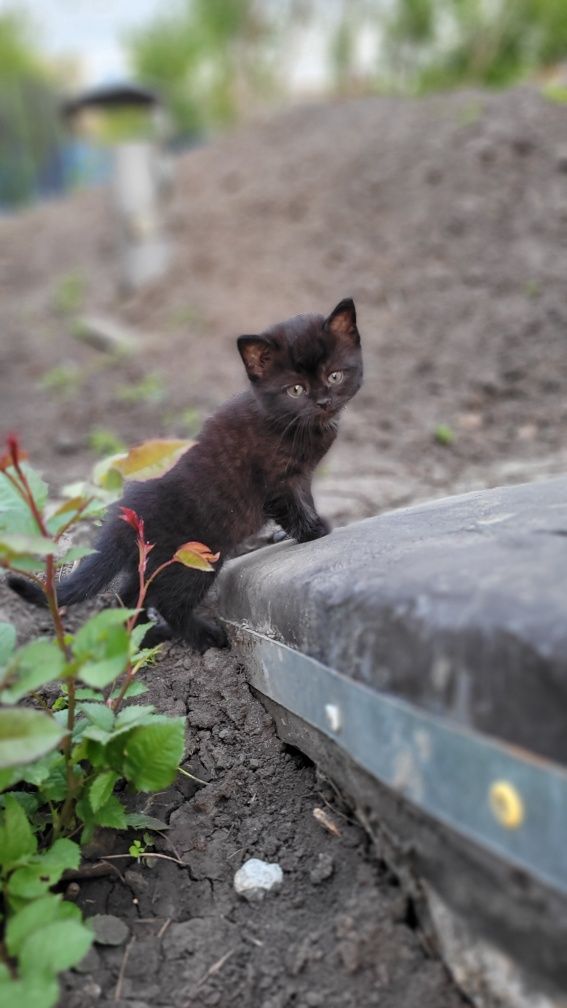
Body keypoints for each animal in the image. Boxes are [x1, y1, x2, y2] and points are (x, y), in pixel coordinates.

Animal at [11, 296, 363, 653]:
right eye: (295, 390)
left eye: (334, 376)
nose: (323, 401)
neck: (287, 422)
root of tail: (122, 519)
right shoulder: (277, 481)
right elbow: (292, 506)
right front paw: (314, 532)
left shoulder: (301, 477)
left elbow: (305, 499)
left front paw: (295, 530)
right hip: (192, 557)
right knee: (169, 601)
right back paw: (206, 636)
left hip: (152, 563)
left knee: (128, 598)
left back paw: (144, 640)